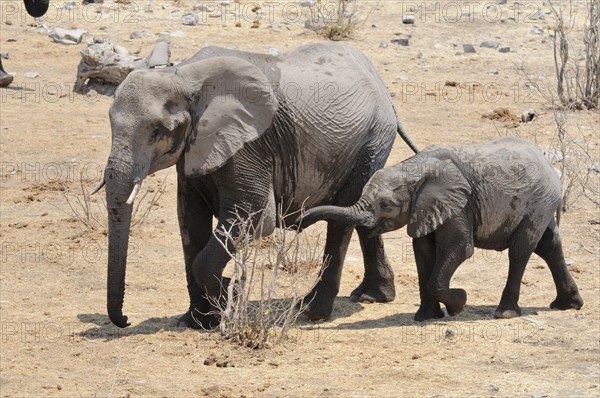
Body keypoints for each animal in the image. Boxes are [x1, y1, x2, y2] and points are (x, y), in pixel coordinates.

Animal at [98, 43, 418, 330]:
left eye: (156, 131)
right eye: (110, 122)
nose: (125, 320)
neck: (184, 75)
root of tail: (381, 84)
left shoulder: (249, 146)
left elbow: (253, 216)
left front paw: (229, 294)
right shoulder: (194, 151)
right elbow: (189, 220)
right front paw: (196, 321)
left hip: (371, 141)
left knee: (342, 221)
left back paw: (312, 311)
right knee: (361, 212)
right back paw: (373, 296)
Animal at [298, 137, 584, 320]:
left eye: (387, 205)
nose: (300, 221)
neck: (414, 168)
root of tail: (550, 167)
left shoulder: (459, 204)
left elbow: (460, 249)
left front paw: (459, 303)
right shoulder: (425, 209)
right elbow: (422, 251)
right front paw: (426, 317)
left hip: (538, 201)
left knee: (521, 250)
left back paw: (505, 313)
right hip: (541, 204)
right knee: (549, 245)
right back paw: (568, 305)